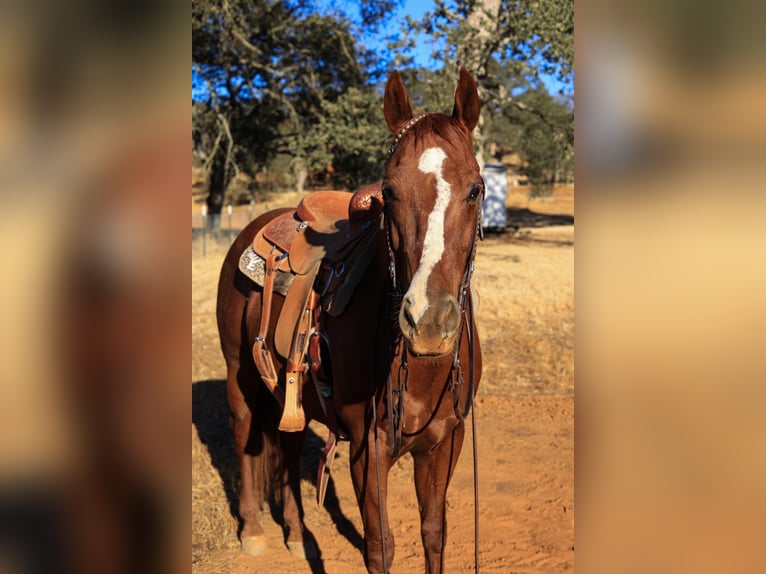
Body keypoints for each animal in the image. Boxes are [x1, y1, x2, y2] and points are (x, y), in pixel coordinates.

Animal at [216, 68, 483, 573]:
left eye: (476, 190)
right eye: (390, 192)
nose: (428, 321)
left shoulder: (445, 443)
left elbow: (434, 535)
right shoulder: (367, 450)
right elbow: (380, 546)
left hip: (291, 395)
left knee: (288, 445)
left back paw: (296, 534)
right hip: (239, 372)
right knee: (242, 435)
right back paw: (254, 531)